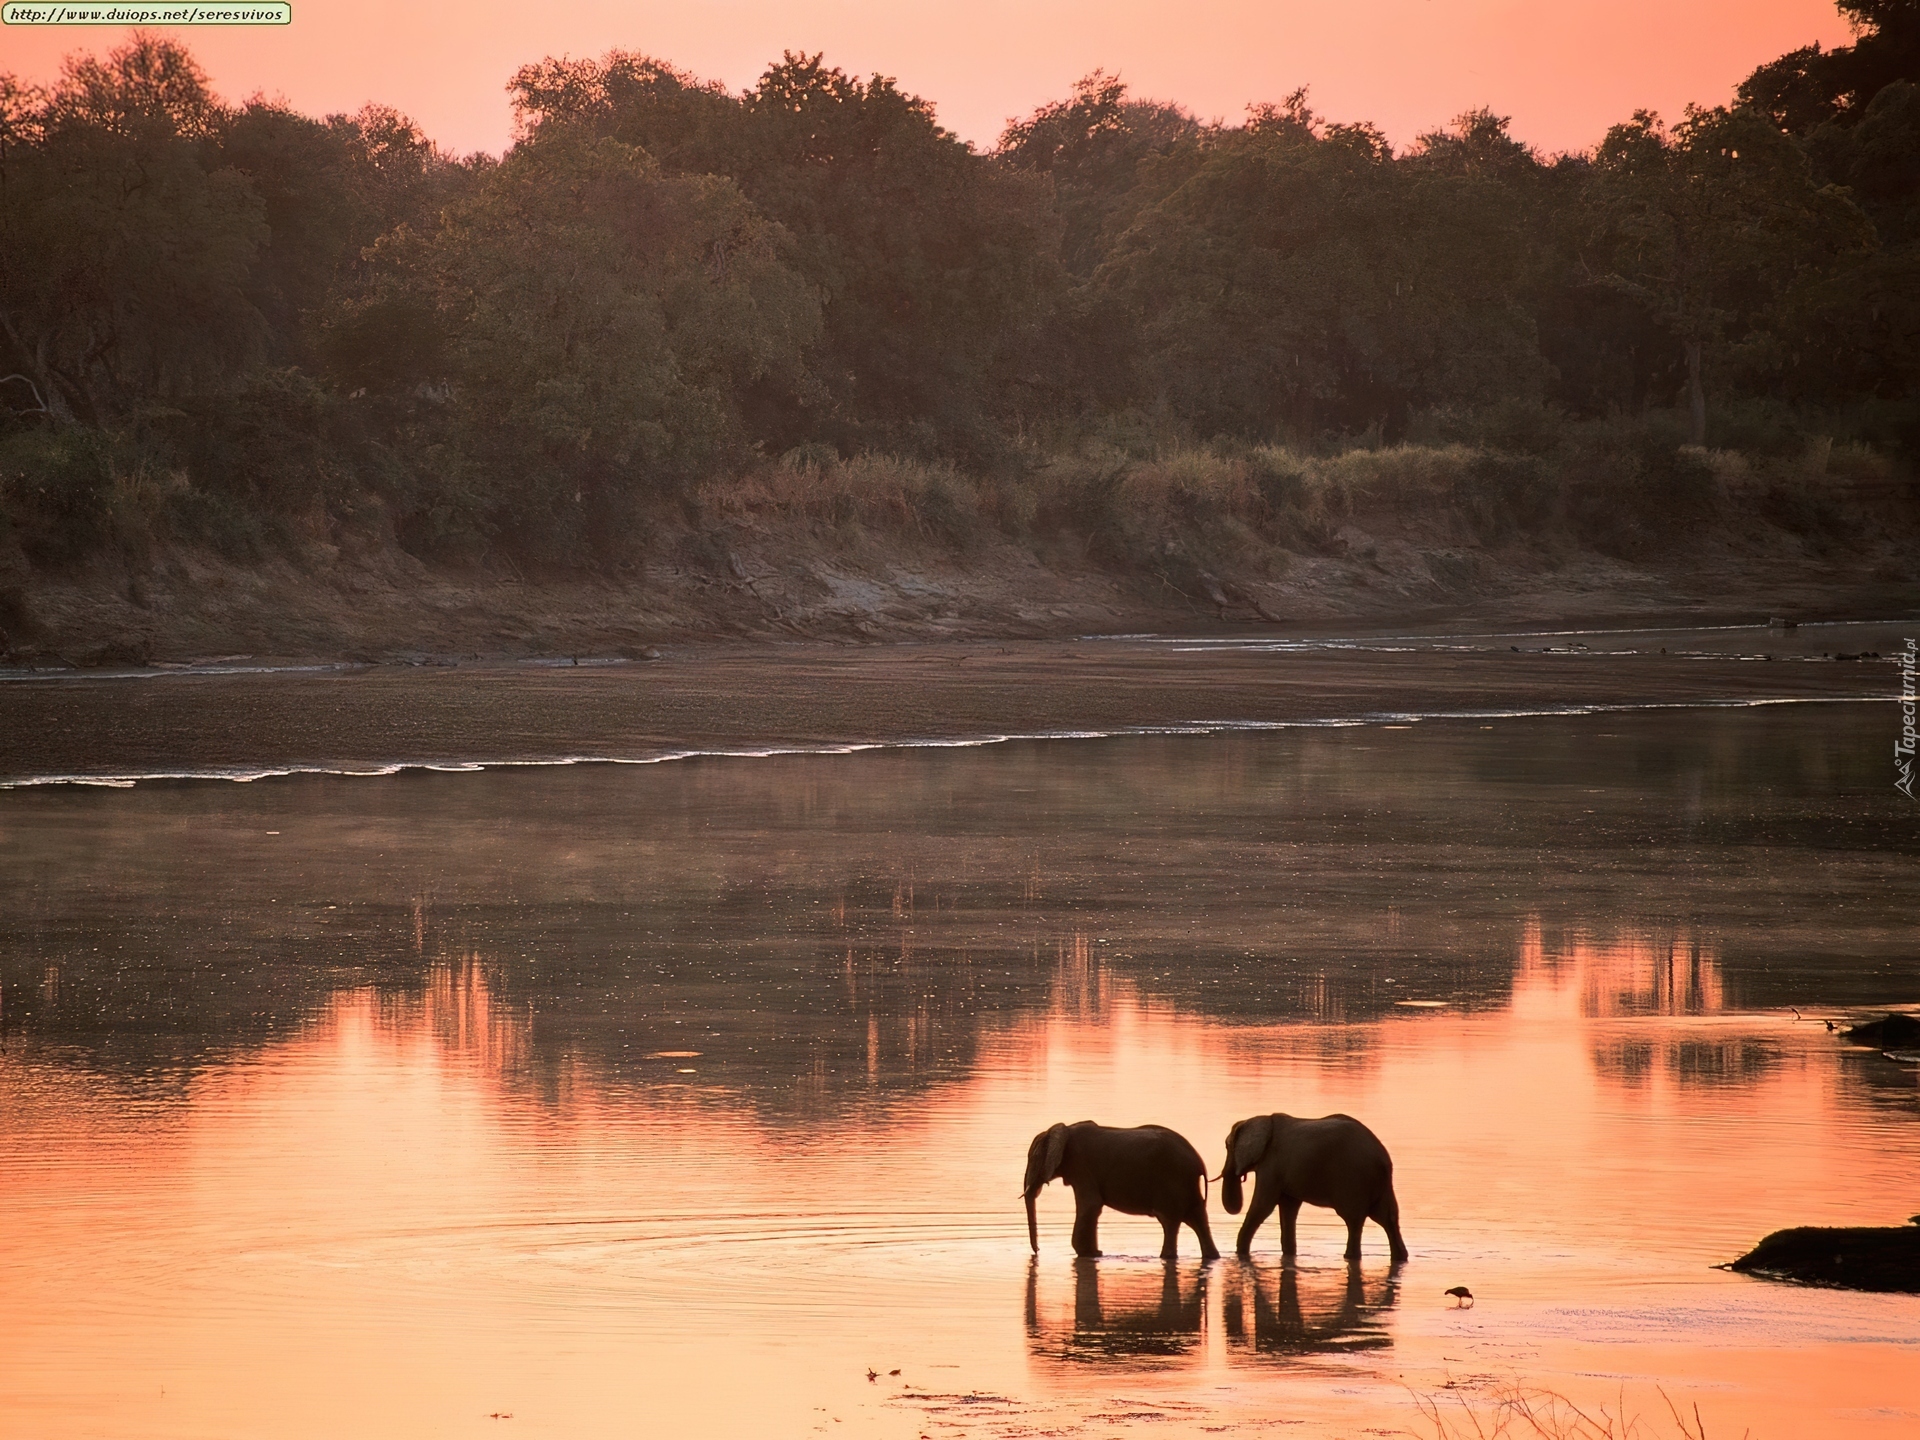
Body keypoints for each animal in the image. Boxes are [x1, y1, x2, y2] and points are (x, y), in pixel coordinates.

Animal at [1021, 1121, 1213, 1259]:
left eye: (1032, 1158)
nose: (1038, 1250)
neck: (1065, 1129)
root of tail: (1199, 1163)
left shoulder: (1081, 1166)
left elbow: (1091, 1204)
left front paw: (1089, 1253)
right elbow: (1093, 1207)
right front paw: (1094, 1254)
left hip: (1173, 1182)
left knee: (1170, 1221)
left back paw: (1166, 1256)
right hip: (1186, 1184)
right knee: (1198, 1219)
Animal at [1221, 1113, 1405, 1259]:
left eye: (1227, 1146)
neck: (1261, 1119)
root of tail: (1382, 1157)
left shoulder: (1271, 1164)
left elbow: (1263, 1206)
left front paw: (1240, 1253)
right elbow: (1288, 1208)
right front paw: (1289, 1254)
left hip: (1354, 1180)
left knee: (1354, 1220)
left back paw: (1350, 1257)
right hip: (1381, 1184)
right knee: (1388, 1218)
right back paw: (1400, 1257)